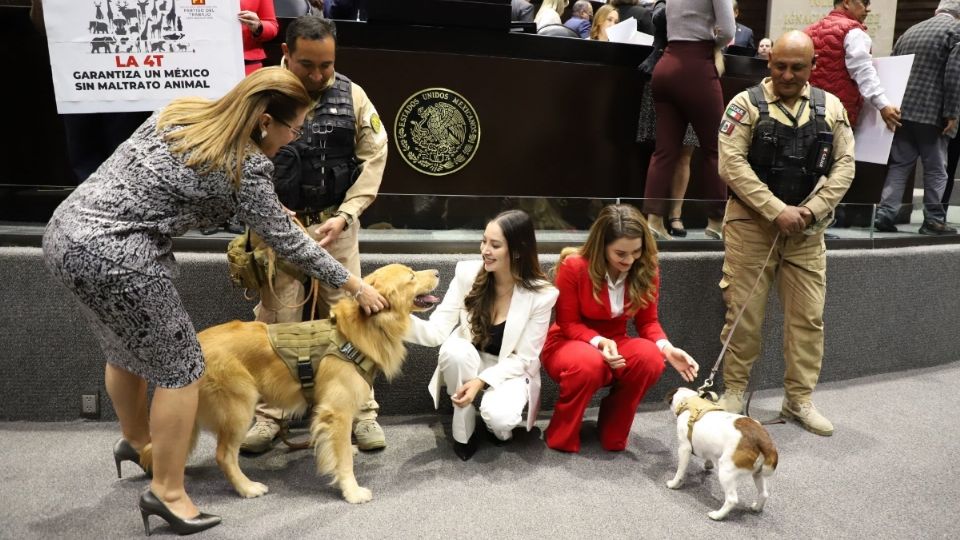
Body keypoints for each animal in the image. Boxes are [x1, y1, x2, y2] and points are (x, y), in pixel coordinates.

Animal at [668, 386, 780, 520]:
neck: (690, 401)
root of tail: (761, 438)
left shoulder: (684, 448)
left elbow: (680, 472)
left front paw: (674, 484)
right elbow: (708, 456)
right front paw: (708, 464)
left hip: (726, 471)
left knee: (732, 499)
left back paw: (717, 515)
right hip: (758, 473)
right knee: (764, 494)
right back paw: (757, 508)